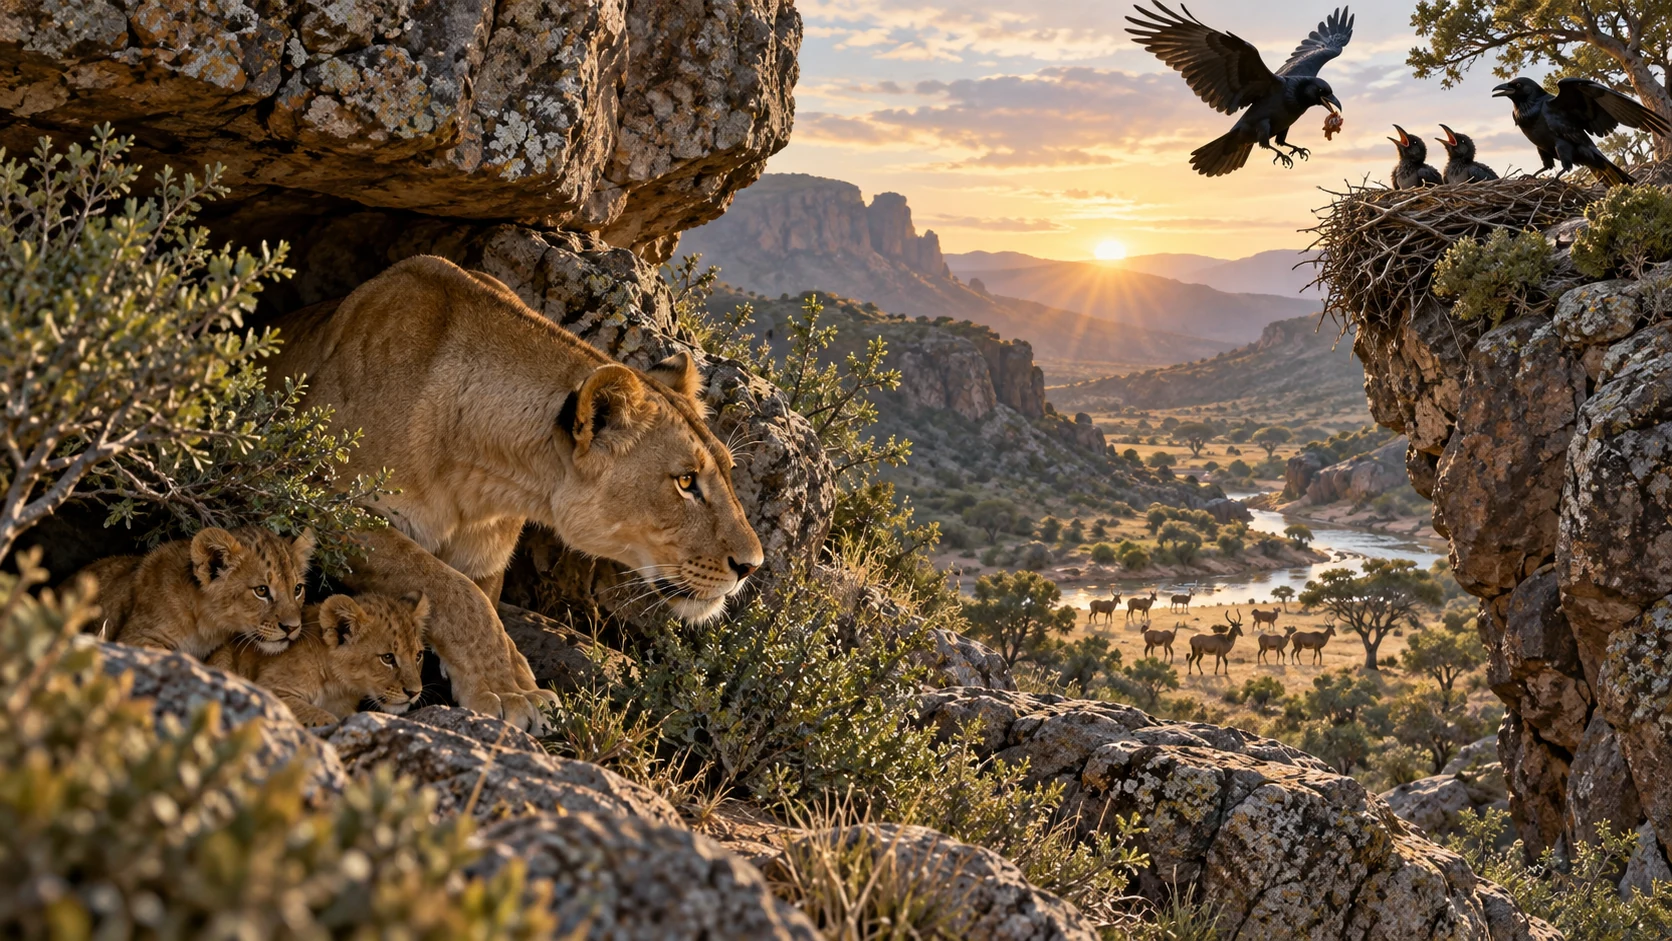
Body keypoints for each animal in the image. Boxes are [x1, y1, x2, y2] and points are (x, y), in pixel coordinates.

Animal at [210, 592, 429, 727]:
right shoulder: (268, 688)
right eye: (387, 658)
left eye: (418, 656)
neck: (337, 687)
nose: (414, 692)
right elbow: (311, 712)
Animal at [268, 255, 765, 732]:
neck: (487, 480)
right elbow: (456, 593)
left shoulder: (485, 558)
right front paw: (508, 691)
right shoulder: (317, 499)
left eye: (728, 471)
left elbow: (481, 604)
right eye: (686, 481)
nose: (752, 566)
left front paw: (513, 680)